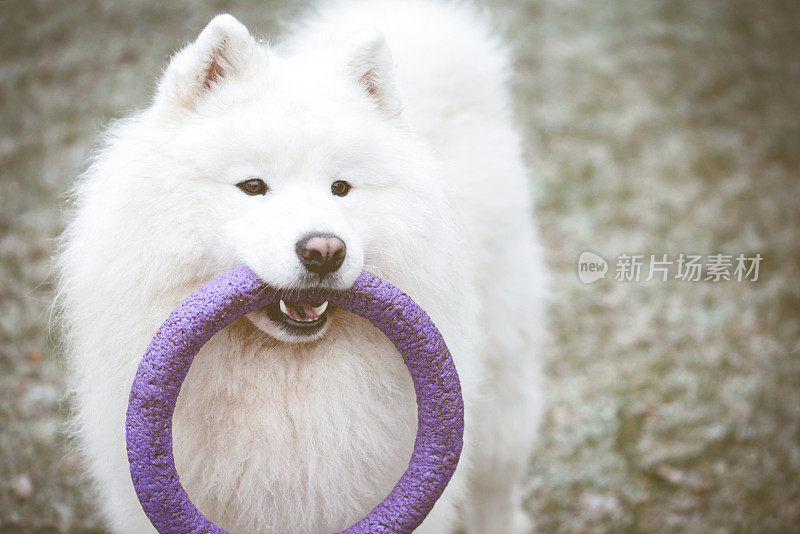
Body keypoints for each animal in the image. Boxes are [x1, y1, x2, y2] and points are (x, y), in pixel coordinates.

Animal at [57, 2, 552, 532]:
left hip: (504, 391)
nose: (325, 250)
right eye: (253, 186)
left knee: (495, 486)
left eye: (341, 188)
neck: (285, 375)